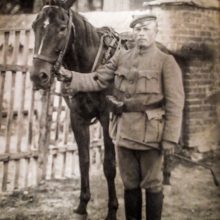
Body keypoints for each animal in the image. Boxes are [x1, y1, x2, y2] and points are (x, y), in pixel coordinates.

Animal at [29, 0, 119, 220]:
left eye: (62, 28)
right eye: (34, 26)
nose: (38, 76)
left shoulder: (108, 118)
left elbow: (109, 165)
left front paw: (112, 210)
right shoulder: (77, 119)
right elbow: (83, 161)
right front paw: (82, 205)